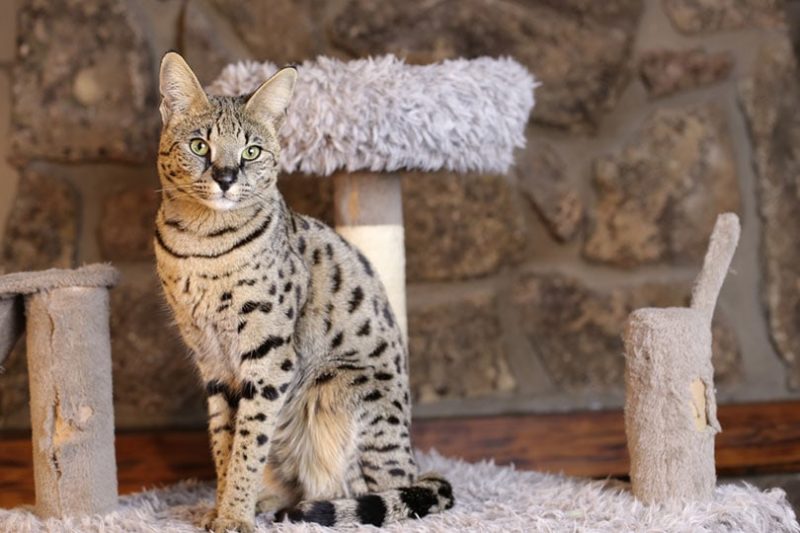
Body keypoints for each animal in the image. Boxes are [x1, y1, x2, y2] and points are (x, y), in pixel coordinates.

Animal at [153, 53, 454, 532]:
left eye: (251, 151)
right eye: (200, 146)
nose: (225, 177)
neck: (201, 243)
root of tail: (412, 461)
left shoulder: (269, 357)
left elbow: (248, 444)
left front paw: (235, 515)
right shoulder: (212, 361)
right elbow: (224, 443)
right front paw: (221, 507)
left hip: (336, 387)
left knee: (365, 492)